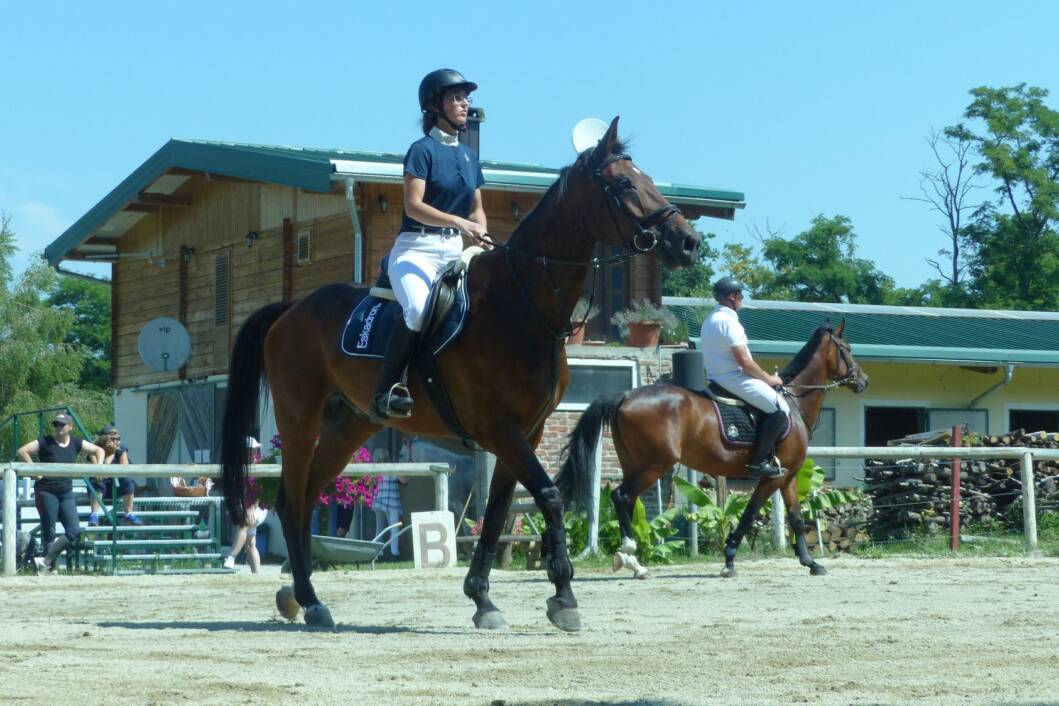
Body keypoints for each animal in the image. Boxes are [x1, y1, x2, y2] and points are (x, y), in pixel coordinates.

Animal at [221, 118, 703, 630]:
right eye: (625, 184)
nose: (689, 242)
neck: (520, 303)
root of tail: (291, 310)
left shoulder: (525, 433)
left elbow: (497, 511)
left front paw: (483, 598)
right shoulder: (499, 429)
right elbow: (549, 496)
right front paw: (564, 597)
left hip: (350, 424)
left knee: (309, 495)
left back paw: (295, 596)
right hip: (299, 419)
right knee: (291, 500)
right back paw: (310, 601)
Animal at [554, 319, 868, 580]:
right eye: (848, 348)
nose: (864, 381)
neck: (793, 403)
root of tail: (625, 396)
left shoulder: (787, 477)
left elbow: (796, 518)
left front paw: (810, 562)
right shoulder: (771, 478)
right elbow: (749, 515)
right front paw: (729, 561)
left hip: (633, 463)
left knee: (626, 500)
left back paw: (631, 561)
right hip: (655, 465)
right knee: (622, 497)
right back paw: (633, 560)